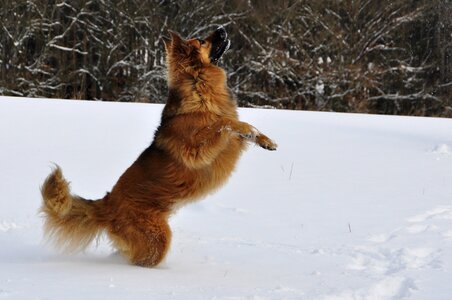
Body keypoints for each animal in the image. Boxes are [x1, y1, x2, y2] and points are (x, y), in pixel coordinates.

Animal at [40, 27, 278, 268]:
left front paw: (265, 140)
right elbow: (224, 123)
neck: (198, 84)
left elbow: (241, 127)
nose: (222, 28)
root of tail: (106, 203)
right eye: (202, 41)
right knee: (143, 259)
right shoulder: (195, 150)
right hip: (157, 238)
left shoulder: (232, 143)